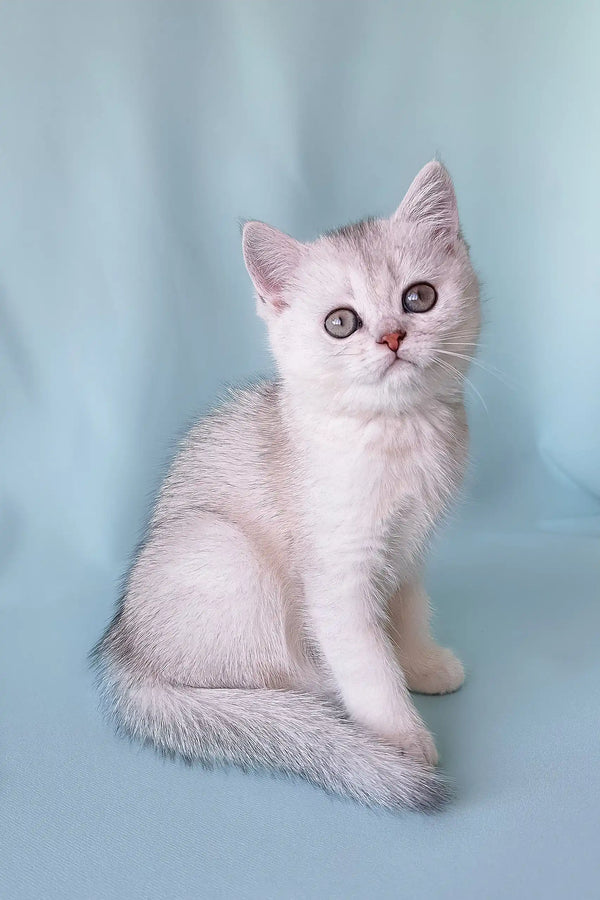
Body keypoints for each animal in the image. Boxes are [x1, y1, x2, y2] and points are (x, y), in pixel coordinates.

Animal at [95, 163, 478, 816]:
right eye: (341, 322)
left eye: (419, 297)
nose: (393, 337)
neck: (395, 433)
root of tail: (127, 654)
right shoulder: (336, 575)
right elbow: (367, 661)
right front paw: (401, 737)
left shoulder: (406, 553)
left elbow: (407, 614)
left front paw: (422, 664)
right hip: (224, 553)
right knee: (262, 677)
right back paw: (319, 701)